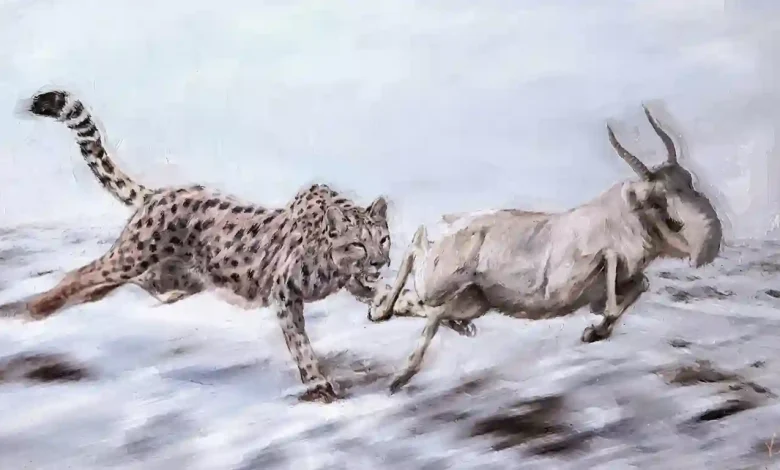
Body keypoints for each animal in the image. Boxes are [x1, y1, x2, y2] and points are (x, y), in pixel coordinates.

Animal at [5, 89, 392, 402]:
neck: (332, 269)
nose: (379, 261)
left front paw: (389, 297)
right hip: (133, 257)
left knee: (109, 285)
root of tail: (160, 193)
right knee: (84, 273)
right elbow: (299, 342)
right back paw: (37, 308)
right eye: (358, 244)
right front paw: (317, 382)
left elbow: (374, 292)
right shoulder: (284, 294)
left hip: (168, 278)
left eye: (383, 239)